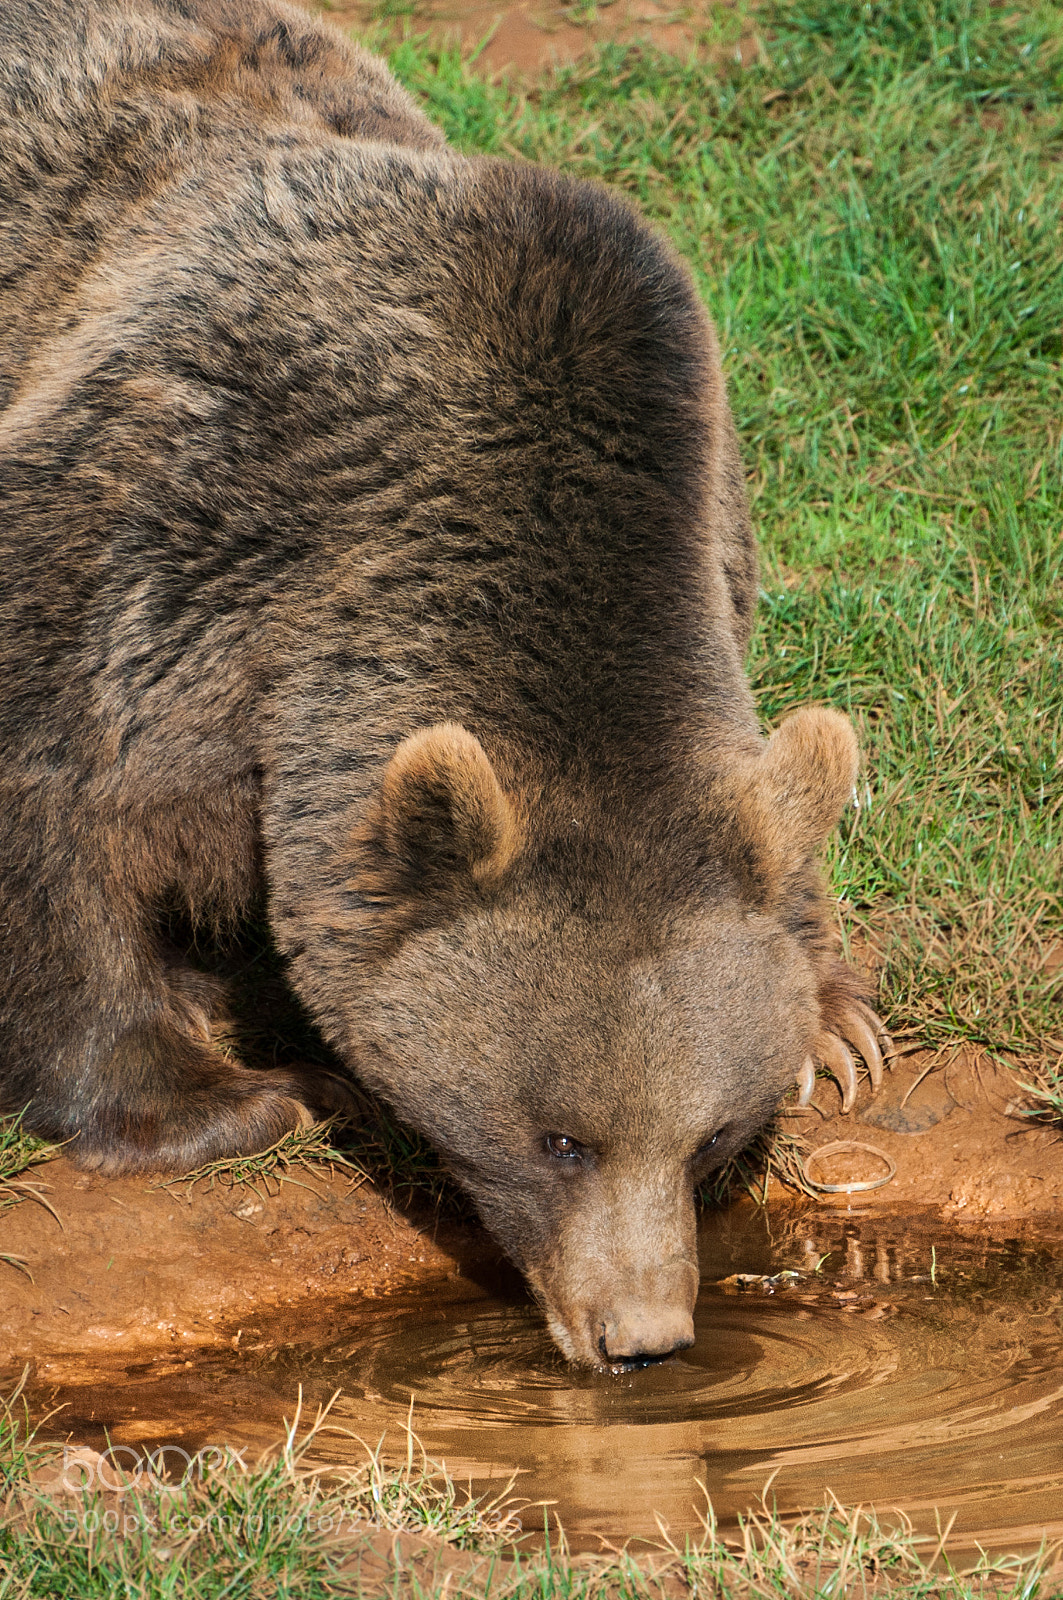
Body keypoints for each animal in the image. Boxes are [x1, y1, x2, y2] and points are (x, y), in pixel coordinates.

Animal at [0, 0, 889, 1366]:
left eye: (705, 1136)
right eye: (558, 1137)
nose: (638, 1334)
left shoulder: (711, 522)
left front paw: (835, 1031)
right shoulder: (167, 530)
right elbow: (52, 793)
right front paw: (236, 1092)